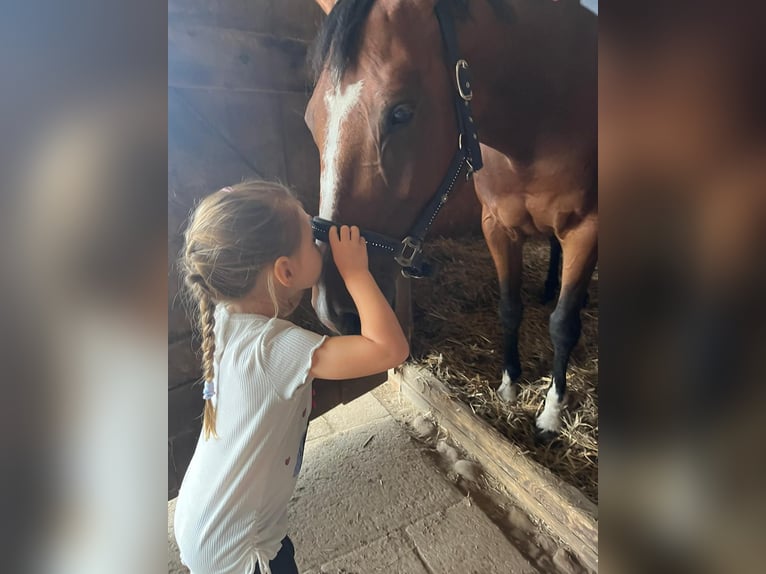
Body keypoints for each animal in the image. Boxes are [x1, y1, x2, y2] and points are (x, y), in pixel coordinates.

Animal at [305, 0, 597, 434]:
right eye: (311, 119)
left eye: (401, 112)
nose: (332, 309)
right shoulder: (497, 226)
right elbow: (509, 307)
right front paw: (509, 384)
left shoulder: (585, 230)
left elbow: (563, 325)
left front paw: (551, 411)